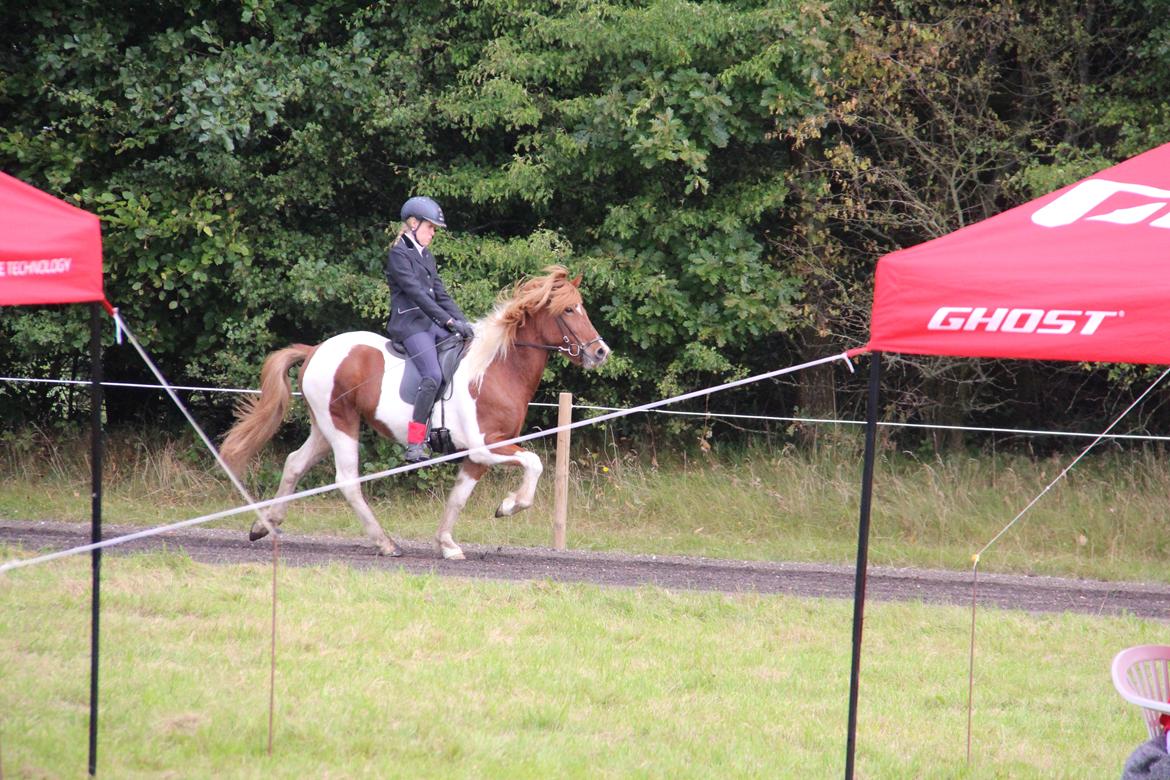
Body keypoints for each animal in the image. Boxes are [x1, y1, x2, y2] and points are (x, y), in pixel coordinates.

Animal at [217, 265, 613, 558]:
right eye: (568, 310)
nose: (600, 352)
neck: (495, 369)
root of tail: (316, 349)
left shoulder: (477, 456)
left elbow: (458, 498)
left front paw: (447, 544)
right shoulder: (488, 446)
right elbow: (534, 462)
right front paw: (509, 506)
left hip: (325, 426)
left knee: (295, 463)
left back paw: (265, 524)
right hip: (342, 424)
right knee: (347, 480)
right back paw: (385, 542)